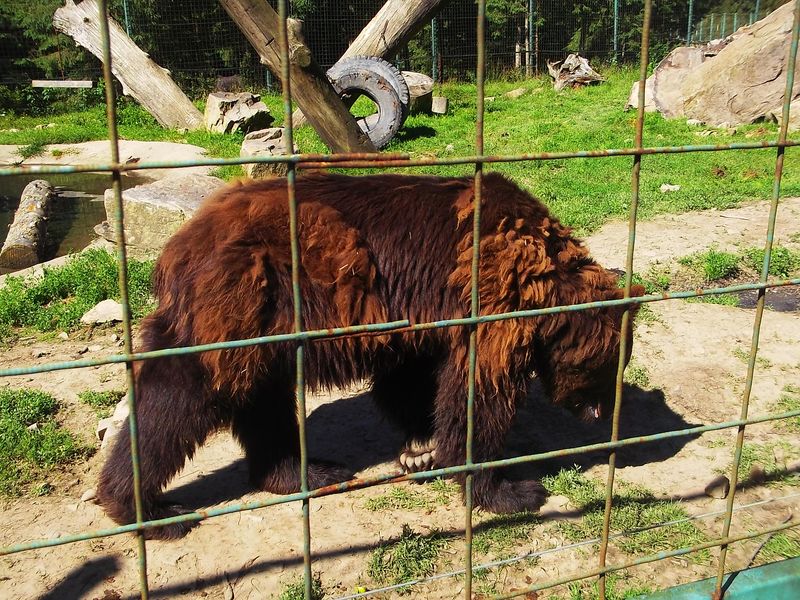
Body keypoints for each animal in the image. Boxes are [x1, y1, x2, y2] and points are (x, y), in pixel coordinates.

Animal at [97, 171, 644, 539]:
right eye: (607, 369)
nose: (601, 412)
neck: (547, 287)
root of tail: (181, 242)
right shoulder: (491, 298)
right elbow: (478, 397)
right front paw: (512, 490)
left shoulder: (419, 318)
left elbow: (412, 380)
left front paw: (419, 446)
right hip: (239, 304)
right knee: (177, 400)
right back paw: (145, 508)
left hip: (262, 330)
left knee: (262, 402)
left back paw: (305, 471)